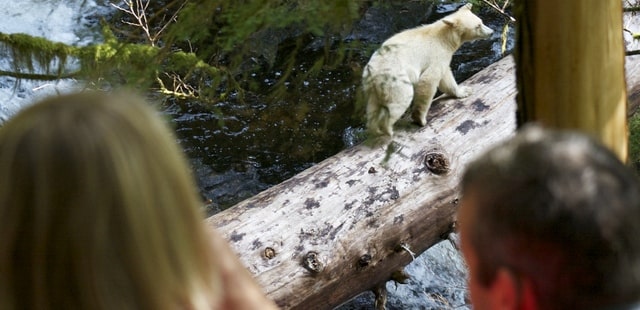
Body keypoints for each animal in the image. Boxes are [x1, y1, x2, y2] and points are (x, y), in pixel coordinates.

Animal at [362, 3, 492, 137]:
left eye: (481, 21)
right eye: (477, 26)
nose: (491, 32)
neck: (445, 38)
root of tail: (373, 72)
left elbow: (446, 78)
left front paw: (464, 91)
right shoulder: (437, 54)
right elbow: (429, 80)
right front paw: (421, 119)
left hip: (371, 88)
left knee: (372, 107)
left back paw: (374, 130)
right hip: (395, 80)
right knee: (400, 100)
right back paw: (388, 130)